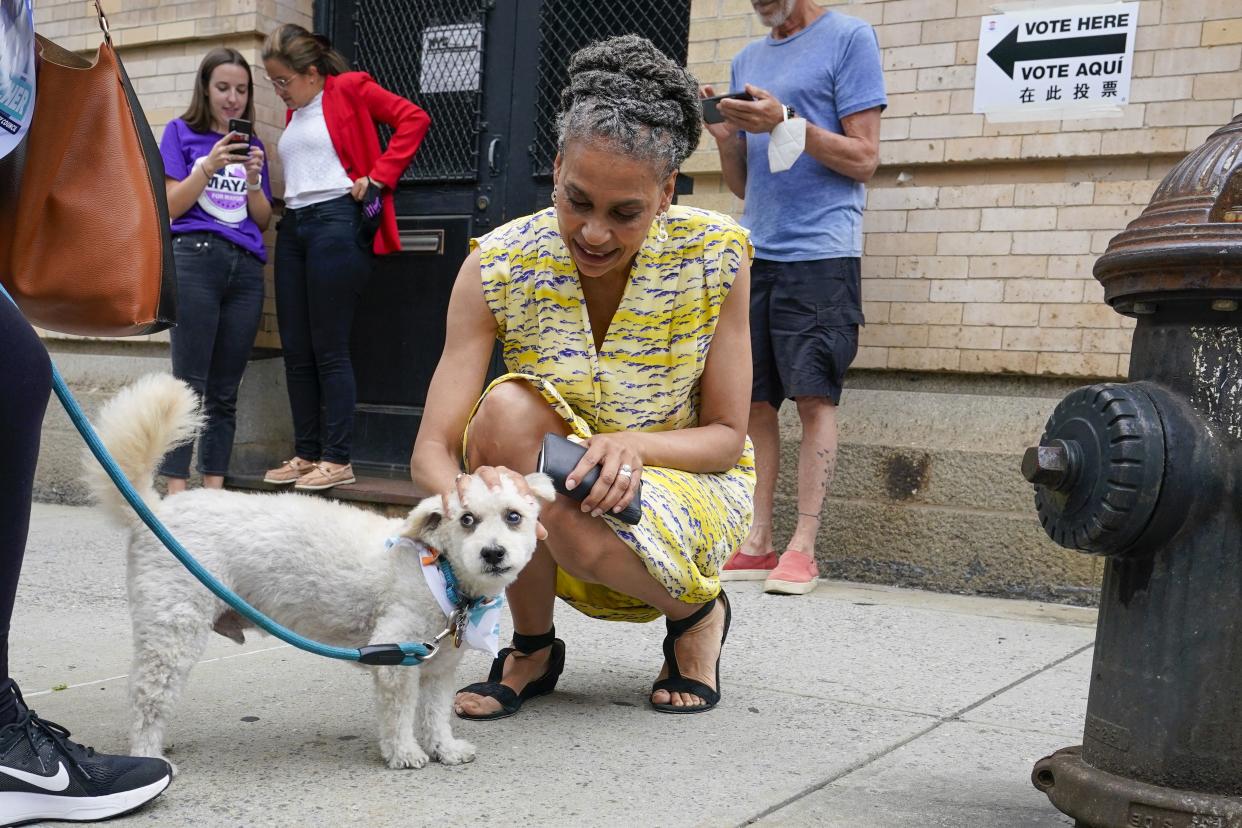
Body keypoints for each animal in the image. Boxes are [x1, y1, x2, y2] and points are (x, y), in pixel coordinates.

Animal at [82, 374, 553, 769]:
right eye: (467, 520)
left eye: (513, 517)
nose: (493, 553)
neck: (441, 572)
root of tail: (154, 511)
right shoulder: (395, 656)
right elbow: (400, 716)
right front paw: (404, 753)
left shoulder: (437, 669)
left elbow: (435, 714)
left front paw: (444, 749)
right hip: (172, 629)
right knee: (148, 698)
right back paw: (149, 756)